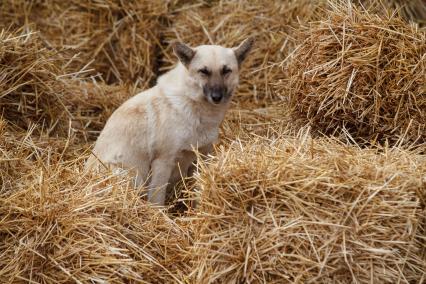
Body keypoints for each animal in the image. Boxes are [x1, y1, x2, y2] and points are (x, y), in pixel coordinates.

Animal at [85, 38, 255, 206]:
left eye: (226, 71)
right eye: (203, 71)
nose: (216, 97)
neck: (194, 107)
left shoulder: (202, 158)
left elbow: (198, 193)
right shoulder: (163, 162)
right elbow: (157, 201)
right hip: (132, 176)